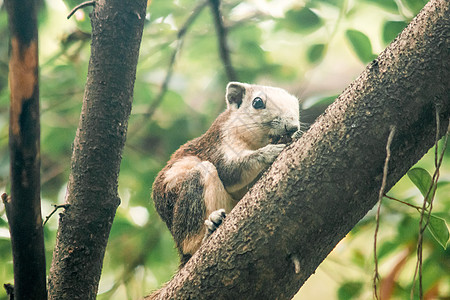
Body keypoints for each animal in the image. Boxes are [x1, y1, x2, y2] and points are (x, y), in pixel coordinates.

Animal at [151, 81, 298, 264]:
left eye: (296, 105)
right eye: (257, 102)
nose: (293, 127)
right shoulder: (218, 145)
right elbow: (229, 171)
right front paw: (269, 152)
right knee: (190, 243)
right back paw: (207, 233)